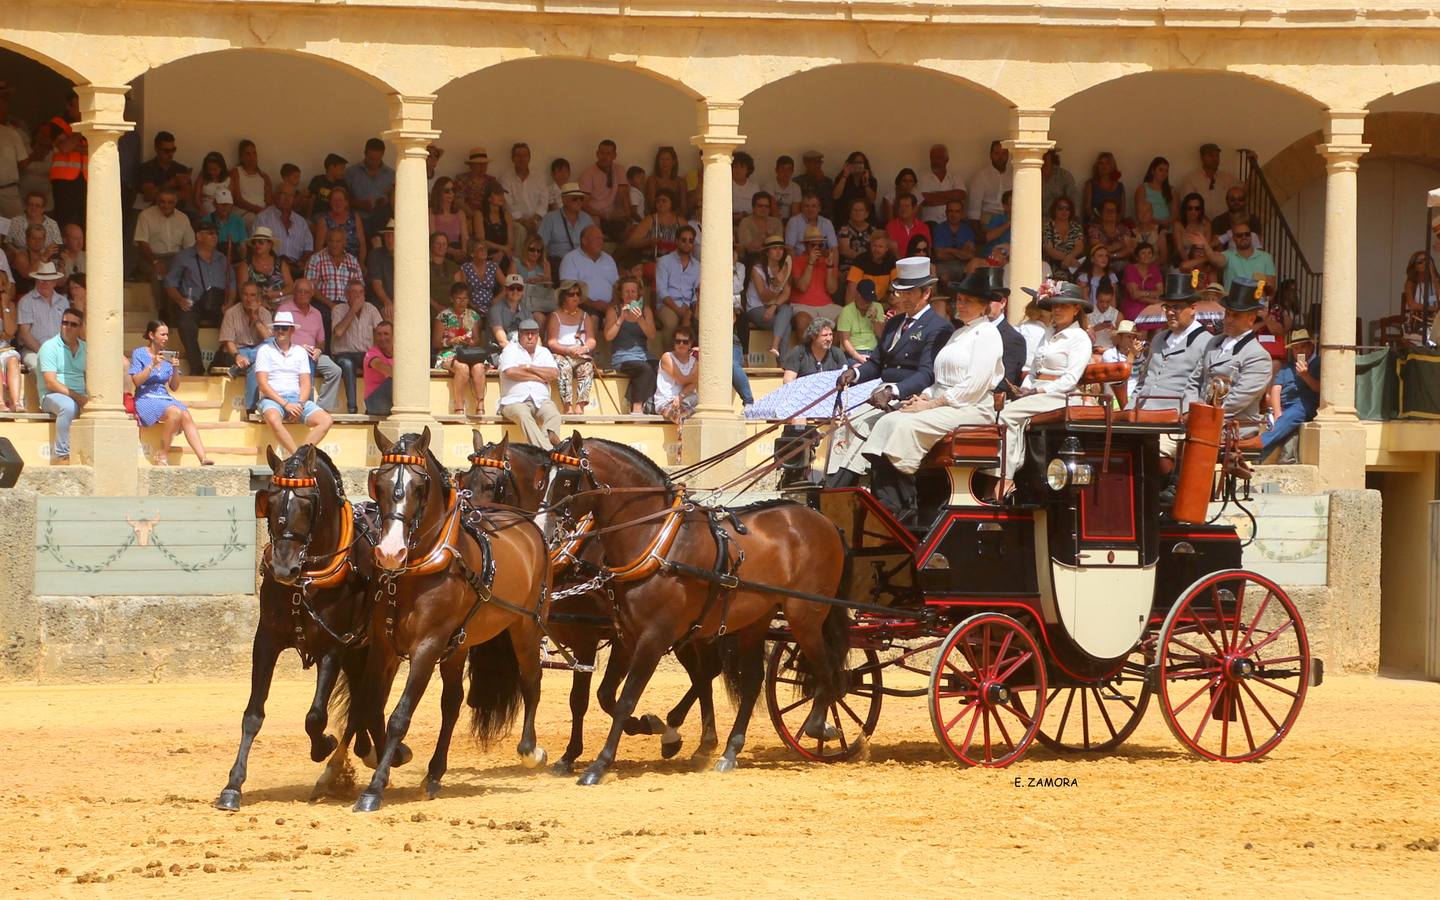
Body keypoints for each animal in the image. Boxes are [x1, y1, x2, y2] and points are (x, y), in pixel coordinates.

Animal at [351, 423, 547, 812]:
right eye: (379, 483)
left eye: (419, 487)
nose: (390, 552)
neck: (415, 571)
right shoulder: (384, 644)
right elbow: (370, 704)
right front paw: (390, 759)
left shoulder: (427, 646)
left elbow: (400, 716)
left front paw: (375, 788)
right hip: (459, 644)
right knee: (452, 702)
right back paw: (434, 773)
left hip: (526, 625)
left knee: (531, 679)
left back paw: (530, 750)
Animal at [457, 432, 720, 766]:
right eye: (463, 479)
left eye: (491, 485)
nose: (470, 527)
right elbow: (587, 696)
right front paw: (572, 753)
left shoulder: (601, 637)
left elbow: (593, 697)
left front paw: (639, 727)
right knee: (704, 674)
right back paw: (694, 737)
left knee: (706, 673)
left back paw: (685, 733)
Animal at [541, 434, 852, 777]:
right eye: (543, 477)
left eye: (566, 479)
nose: (543, 530)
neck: (657, 540)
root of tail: (826, 522)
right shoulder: (627, 636)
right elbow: (605, 696)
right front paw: (650, 728)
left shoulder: (652, 637)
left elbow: (622, 699)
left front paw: (599, 763)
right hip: (754, 620)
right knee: (752, 679)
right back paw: (729, 750)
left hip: (805, 616)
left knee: (827, 666)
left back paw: (818, 725)